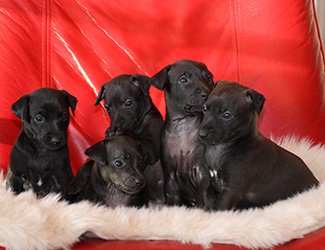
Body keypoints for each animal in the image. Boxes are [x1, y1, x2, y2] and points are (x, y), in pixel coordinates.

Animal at [93, 73, 165, 205]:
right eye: (107, 107)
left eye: (128, 103)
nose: (114, 125)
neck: (138, 125)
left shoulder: (153, 148)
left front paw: (118, 130)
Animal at [151, 59, 216, 209]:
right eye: (183, 79)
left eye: (209, 78)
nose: (208, 94)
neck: (184, 125)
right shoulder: (170, 177)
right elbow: (174, 201)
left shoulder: (203, 174)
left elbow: (202, 199)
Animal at [196, 81, 318, 210]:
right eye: (204, 108)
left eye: (227, 115)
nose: (201, 134)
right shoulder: (210, 183)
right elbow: (207, 196)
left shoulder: (231, 190)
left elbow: (219, 208)